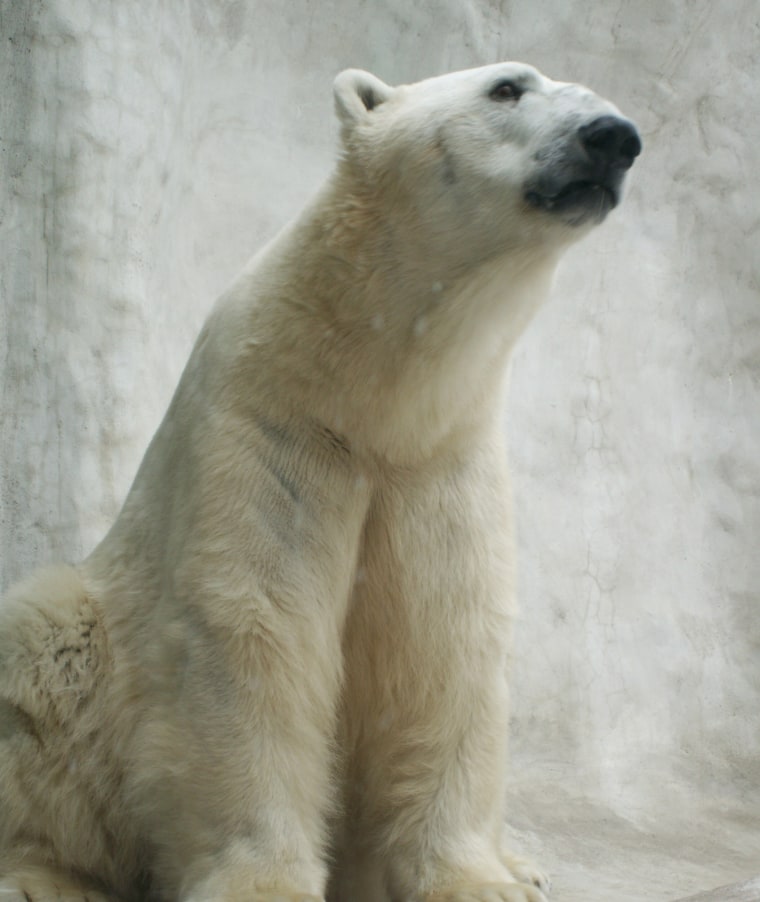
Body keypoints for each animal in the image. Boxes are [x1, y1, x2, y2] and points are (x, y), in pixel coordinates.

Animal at [0, 63, 640, 902]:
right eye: (507, 87)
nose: (614, 137)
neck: (372, 393)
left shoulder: (439, 463)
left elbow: (447, 642)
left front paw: (478, 879)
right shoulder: (274, 432)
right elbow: (255, 634)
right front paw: (264, 884)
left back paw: (526, 862)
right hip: (85, 652)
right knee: (42, 668)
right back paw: (41, 876)